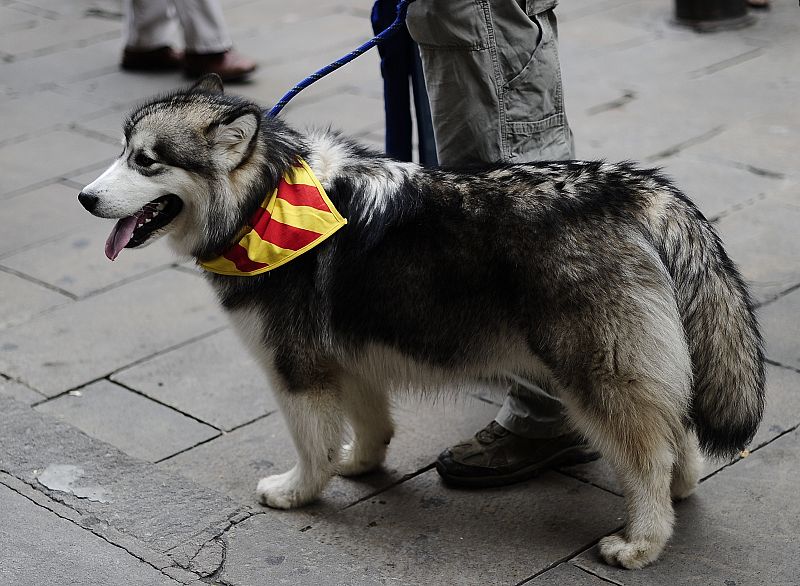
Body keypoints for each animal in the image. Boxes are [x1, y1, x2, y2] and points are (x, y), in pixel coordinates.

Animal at [79, 75, 764, 568]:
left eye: (147, 161)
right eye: (123, 151)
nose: (84, 198)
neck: (264, 199)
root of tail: (633, 188)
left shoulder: (297, 371)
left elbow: (310, 445)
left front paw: (299, 492)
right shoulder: (349, 357)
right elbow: (369, 427)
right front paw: (357, 465)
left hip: (597, 375)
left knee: (646, 458)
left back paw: (643, 542)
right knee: (676, 434)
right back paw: (680, 490)